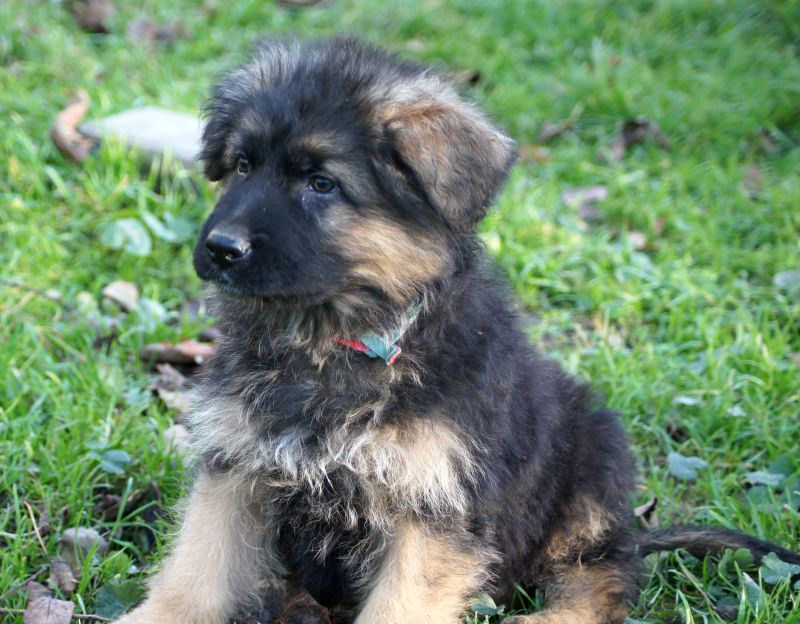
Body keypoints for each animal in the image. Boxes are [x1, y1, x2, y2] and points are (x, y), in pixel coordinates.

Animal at [114, 38, 800, 624]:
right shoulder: (237, 469)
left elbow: (400, 604)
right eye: (242, 165)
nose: (220, 248)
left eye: (321, 183)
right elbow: (195, 569)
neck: (339, 339)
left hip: (592, 461)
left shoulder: (433, 507)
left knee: (603, 576)